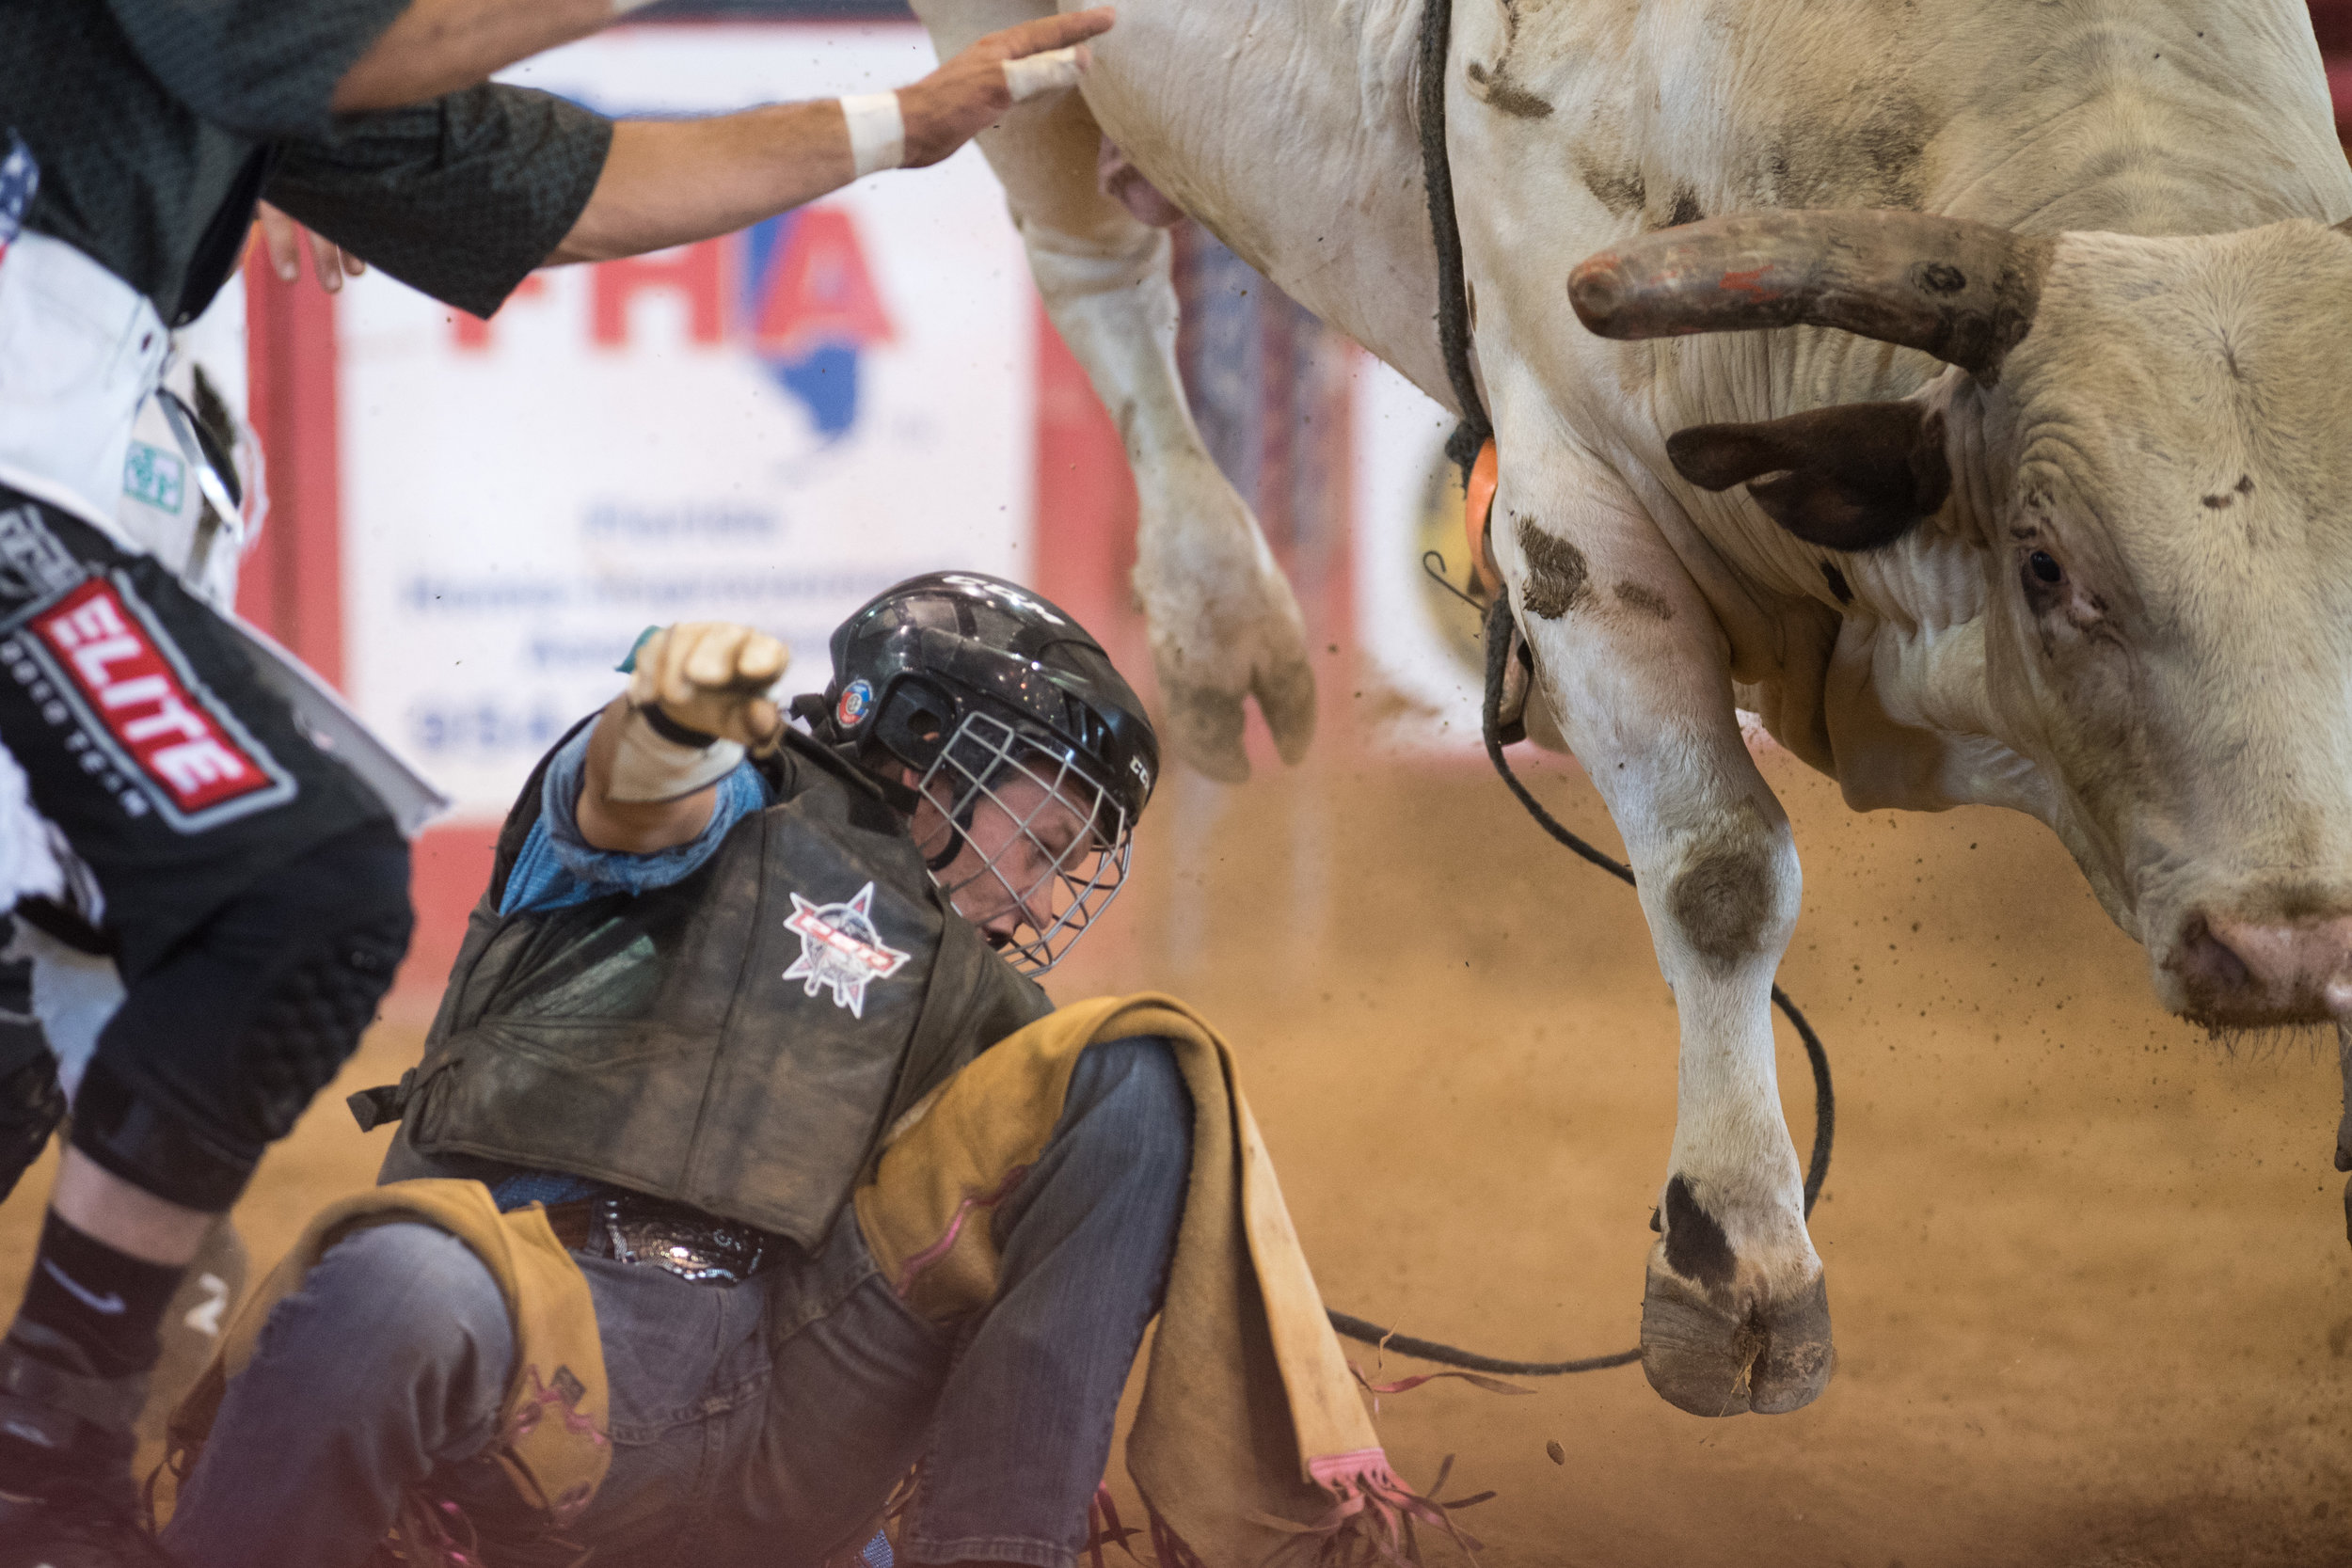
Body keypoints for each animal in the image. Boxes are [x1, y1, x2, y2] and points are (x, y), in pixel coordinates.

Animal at [913, 0, 2352, 1419]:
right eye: (2047, 564)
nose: (2285, 951)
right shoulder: (1581, 512)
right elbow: (1723, 875)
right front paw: (1744, 1271)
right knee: (1094, 266)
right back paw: (1222, 629)